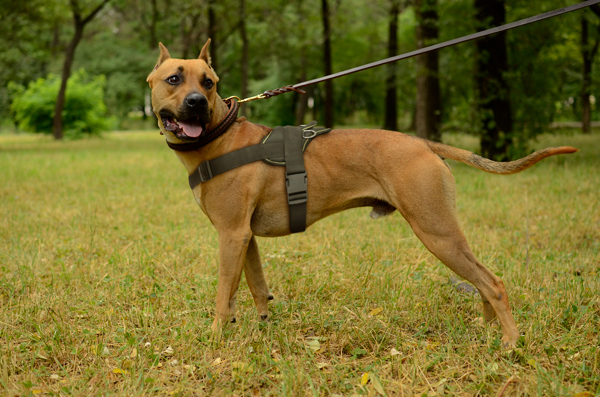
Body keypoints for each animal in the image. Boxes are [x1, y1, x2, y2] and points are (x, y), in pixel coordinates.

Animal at [146, 38, 576, 344]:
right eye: (174, 79)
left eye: (208, 83)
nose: (196, 102)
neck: (219, 136)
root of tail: (423, 143)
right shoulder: (244, 237)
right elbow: (254, 286)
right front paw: (261, 326)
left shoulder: (231, 235)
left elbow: (223, 293)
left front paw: (215, 337)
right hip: (445, 235)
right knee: (483, 281)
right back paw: (488, 329)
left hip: (437, 231)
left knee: (493, 283)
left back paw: (510, 343)